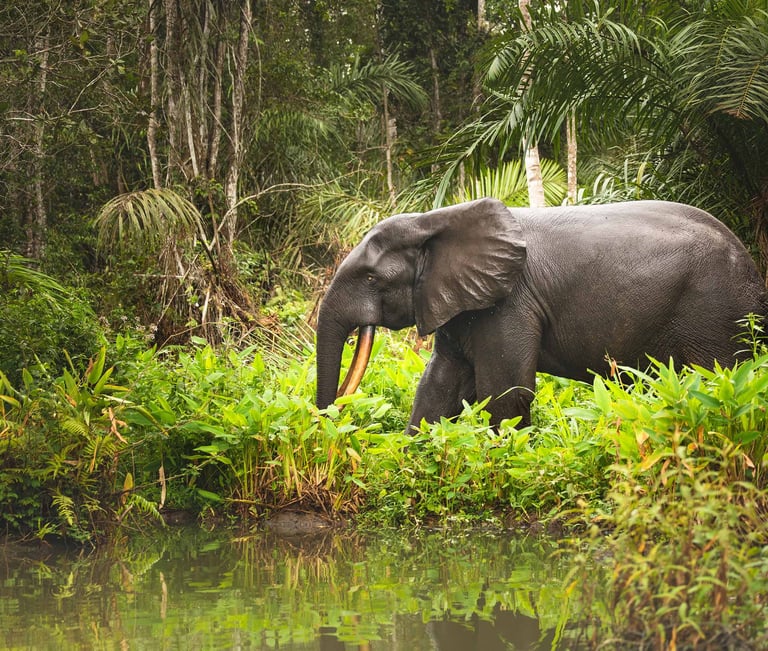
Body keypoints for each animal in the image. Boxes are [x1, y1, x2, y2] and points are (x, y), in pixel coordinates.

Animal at [315, 198, 767, 430]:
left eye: (371, 278)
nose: (329, 420)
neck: (434, 218)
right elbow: (439, 382)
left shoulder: (510, 303)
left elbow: (505, 391)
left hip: (716, 316)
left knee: (720, 374)